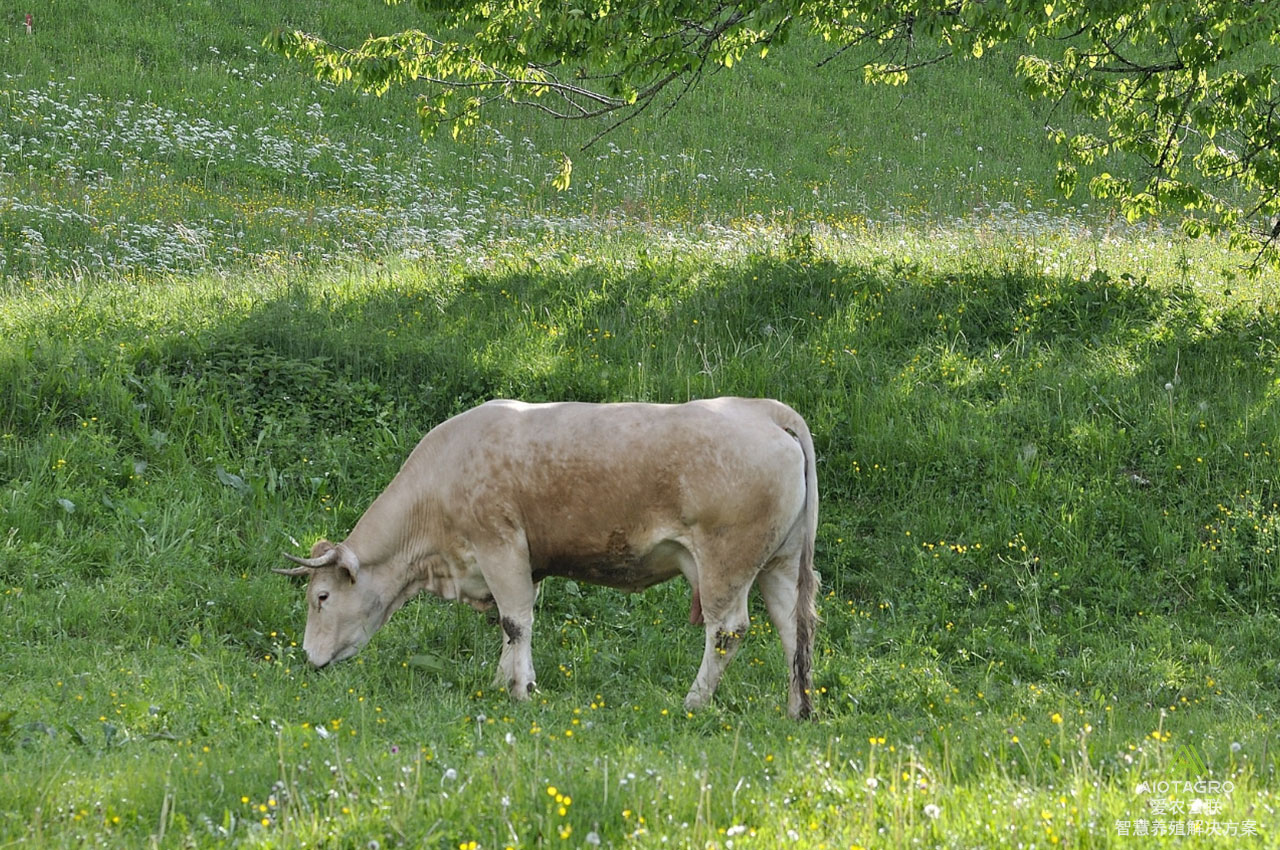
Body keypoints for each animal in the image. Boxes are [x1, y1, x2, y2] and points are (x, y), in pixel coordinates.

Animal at [279, 396, 819, 716]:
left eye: (321, 597)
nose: (307, 657)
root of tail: (760, 409)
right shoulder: (525, 562)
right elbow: (512, 623)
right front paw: (504, 681)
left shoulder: (499, 544)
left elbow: (516, 620)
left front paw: (519, 691)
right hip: (780, 563)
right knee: (793, 628)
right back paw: (797, 709)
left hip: (726, 563)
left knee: (728, 631)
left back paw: (692, 702)